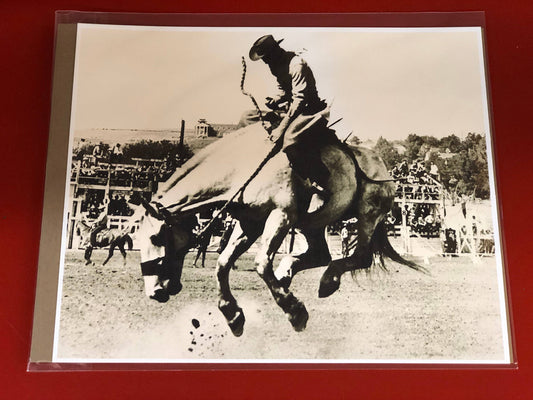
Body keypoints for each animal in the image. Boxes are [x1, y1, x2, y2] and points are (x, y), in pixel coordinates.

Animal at [134, 123, 424, 336]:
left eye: (156, 236)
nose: (154, 292)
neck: (242, 168)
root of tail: (381, 163)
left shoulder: (281, 216)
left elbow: (262, 263)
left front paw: (295, 311)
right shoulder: (249, 224)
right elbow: (223, 263)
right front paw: (233, 315)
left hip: (367, 216)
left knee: (359, 257)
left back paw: (326, 281)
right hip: (313, 223)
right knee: (321, 254)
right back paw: (287, 272)